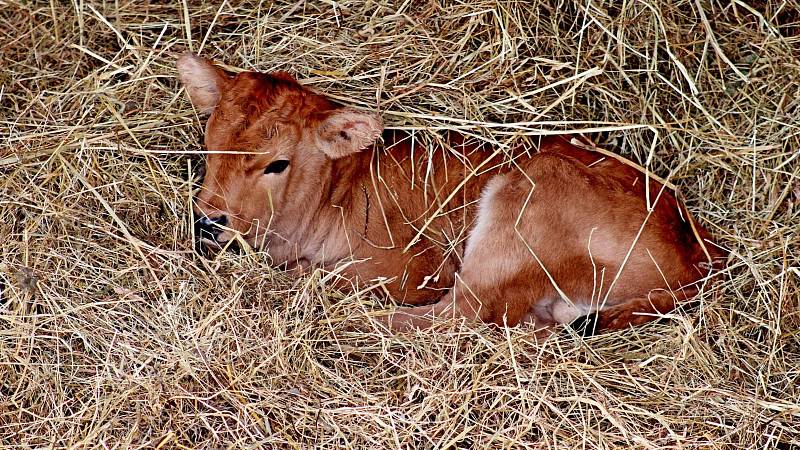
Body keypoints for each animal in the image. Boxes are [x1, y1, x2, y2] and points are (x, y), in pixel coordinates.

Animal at [177, 54, 724, 336]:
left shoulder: (411, 267)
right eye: (208, 143)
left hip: (519, 216)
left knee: (459, 315)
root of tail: (698, 253)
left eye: (277, 163)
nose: (208, 219)